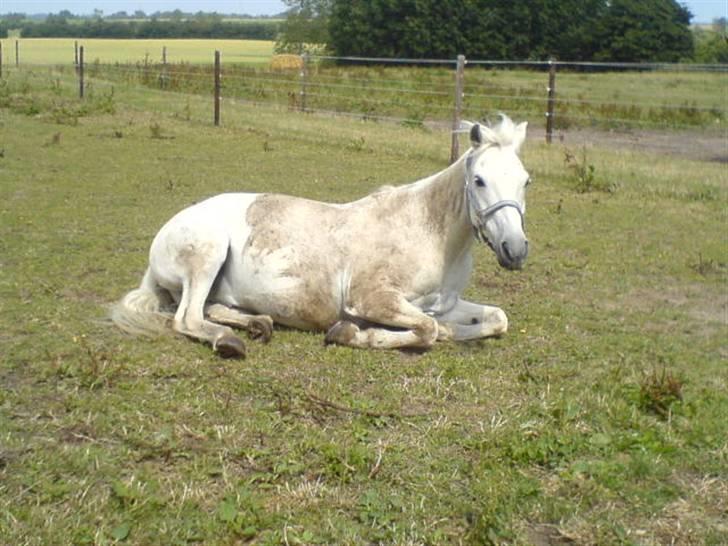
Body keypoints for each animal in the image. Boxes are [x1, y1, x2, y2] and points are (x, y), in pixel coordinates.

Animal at [112, 115, 528, 356]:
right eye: (479, 180)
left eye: (526, 181)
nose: (516, 250)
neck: (429, 235)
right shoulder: (373, 299)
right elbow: (426, 330)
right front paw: (350, 333)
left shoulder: (442, 303)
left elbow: (496, 319)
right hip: (207, 254)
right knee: (187, 318)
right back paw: (229, 341)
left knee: (210, 308)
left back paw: (259, 324)